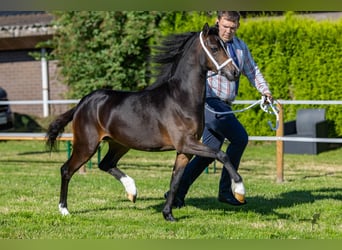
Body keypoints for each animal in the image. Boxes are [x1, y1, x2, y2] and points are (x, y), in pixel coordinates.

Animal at [46, 23, 243, 222]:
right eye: (214, 48)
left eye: (225, 46)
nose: (235, 72)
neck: (181, 99)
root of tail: (82, 102)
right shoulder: (186, 143)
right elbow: (221, 154)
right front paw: (240, 191)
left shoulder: (184, 151)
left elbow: (175, 182)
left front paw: (168, 215)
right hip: (86, 145)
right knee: (66, 169)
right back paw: (64, 209)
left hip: (119, 144)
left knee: (105, 164)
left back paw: (132, 191)